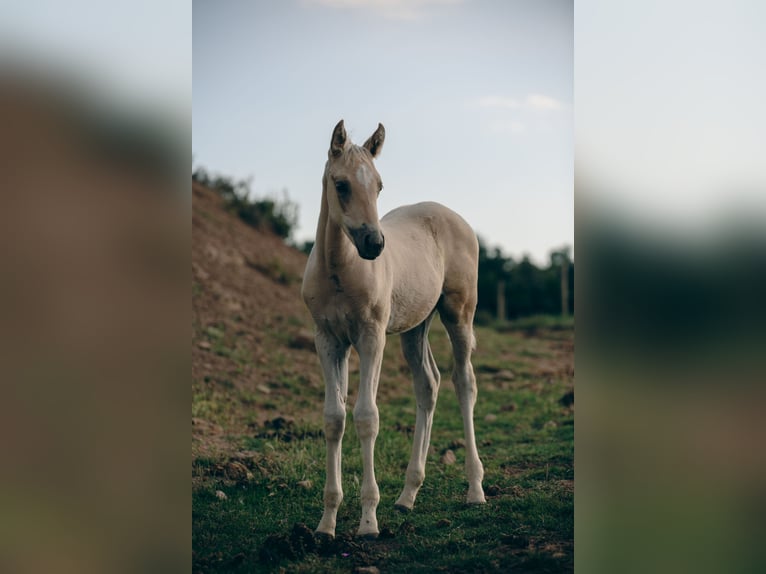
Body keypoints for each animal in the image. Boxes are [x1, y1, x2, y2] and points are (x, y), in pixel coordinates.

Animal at [302, 120, 486, 540]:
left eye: (379, 186)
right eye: (341, 184)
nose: (374, 243)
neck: (339, 270)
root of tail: (456, 218)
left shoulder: (370, 338)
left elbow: (366, 417)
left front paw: (369, 521)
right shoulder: (328, 340)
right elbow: (334, 419)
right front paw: (326, 523)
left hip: (458, 313)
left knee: (463, 382)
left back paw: (475, 488)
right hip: (415, 327)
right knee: (429, 384)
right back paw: (408, 495)